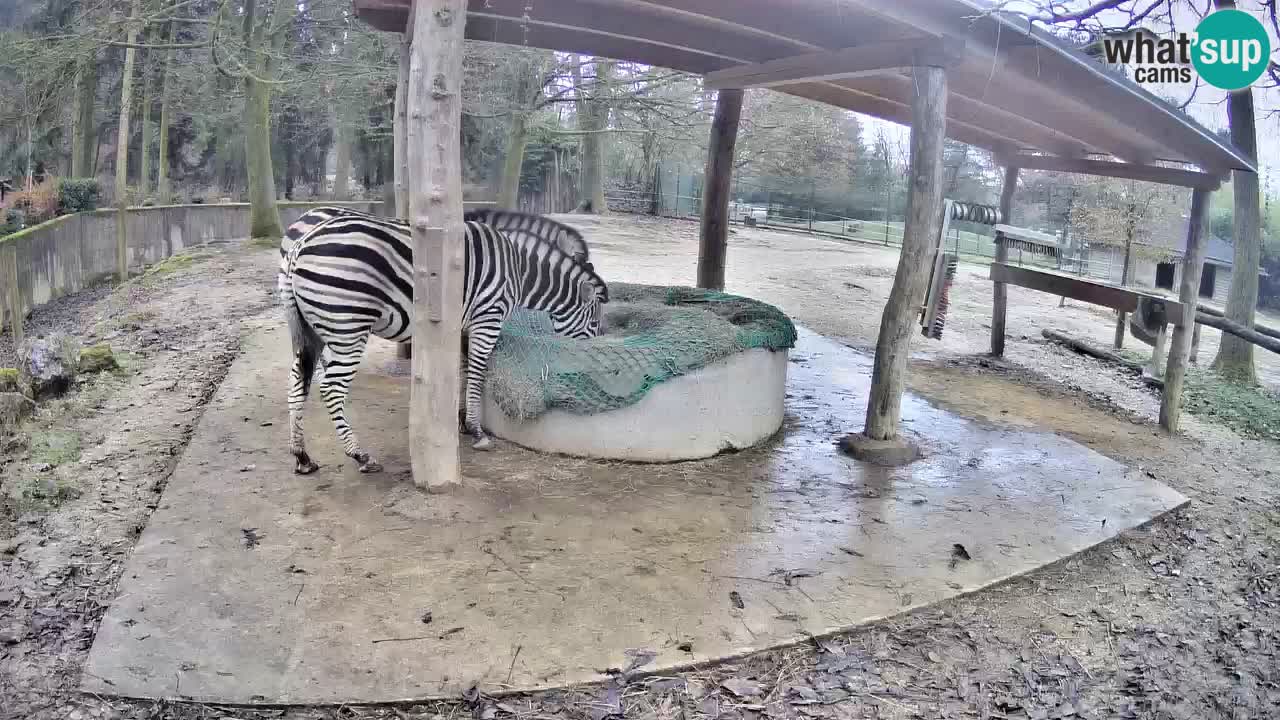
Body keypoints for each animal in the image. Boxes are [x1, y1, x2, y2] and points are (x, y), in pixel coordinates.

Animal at [279, 213, 608, 475]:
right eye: (594, 325)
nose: (590, 362)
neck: (518, 270)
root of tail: (301, 244)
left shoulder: (463, 325)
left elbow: (464, 370)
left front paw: (461, 420)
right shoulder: (487, 318)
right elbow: (477, 372)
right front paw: (476, 430)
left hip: (311, 328)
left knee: (297, 382)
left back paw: (302, 456)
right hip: (347, 326)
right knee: (330, 388)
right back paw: (360, 455)